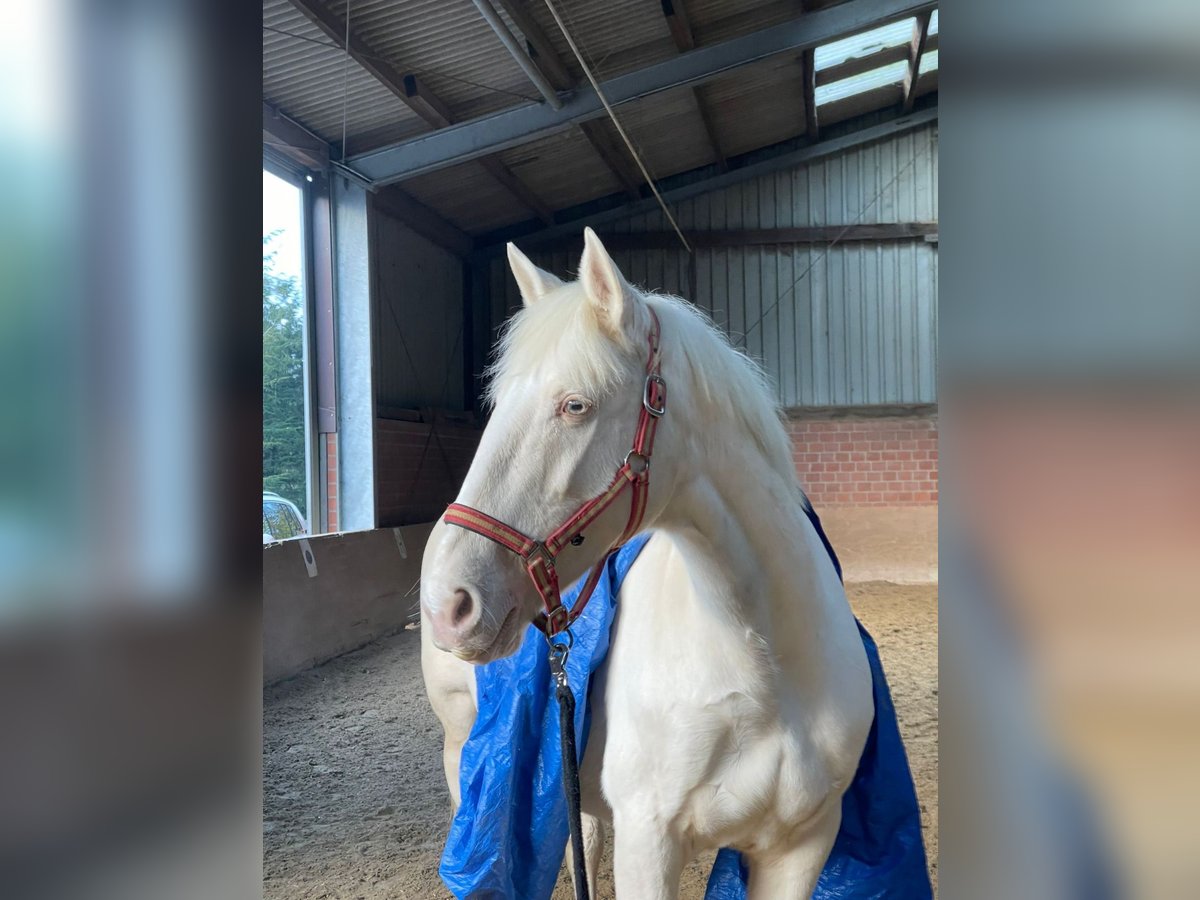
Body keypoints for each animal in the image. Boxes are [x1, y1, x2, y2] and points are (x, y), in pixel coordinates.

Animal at [422, 230, 873, 900]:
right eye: (497, 405)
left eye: (575, 405)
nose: (448, 602)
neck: (767, 667)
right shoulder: (650, 844)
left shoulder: (802, 846)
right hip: (462, 755)